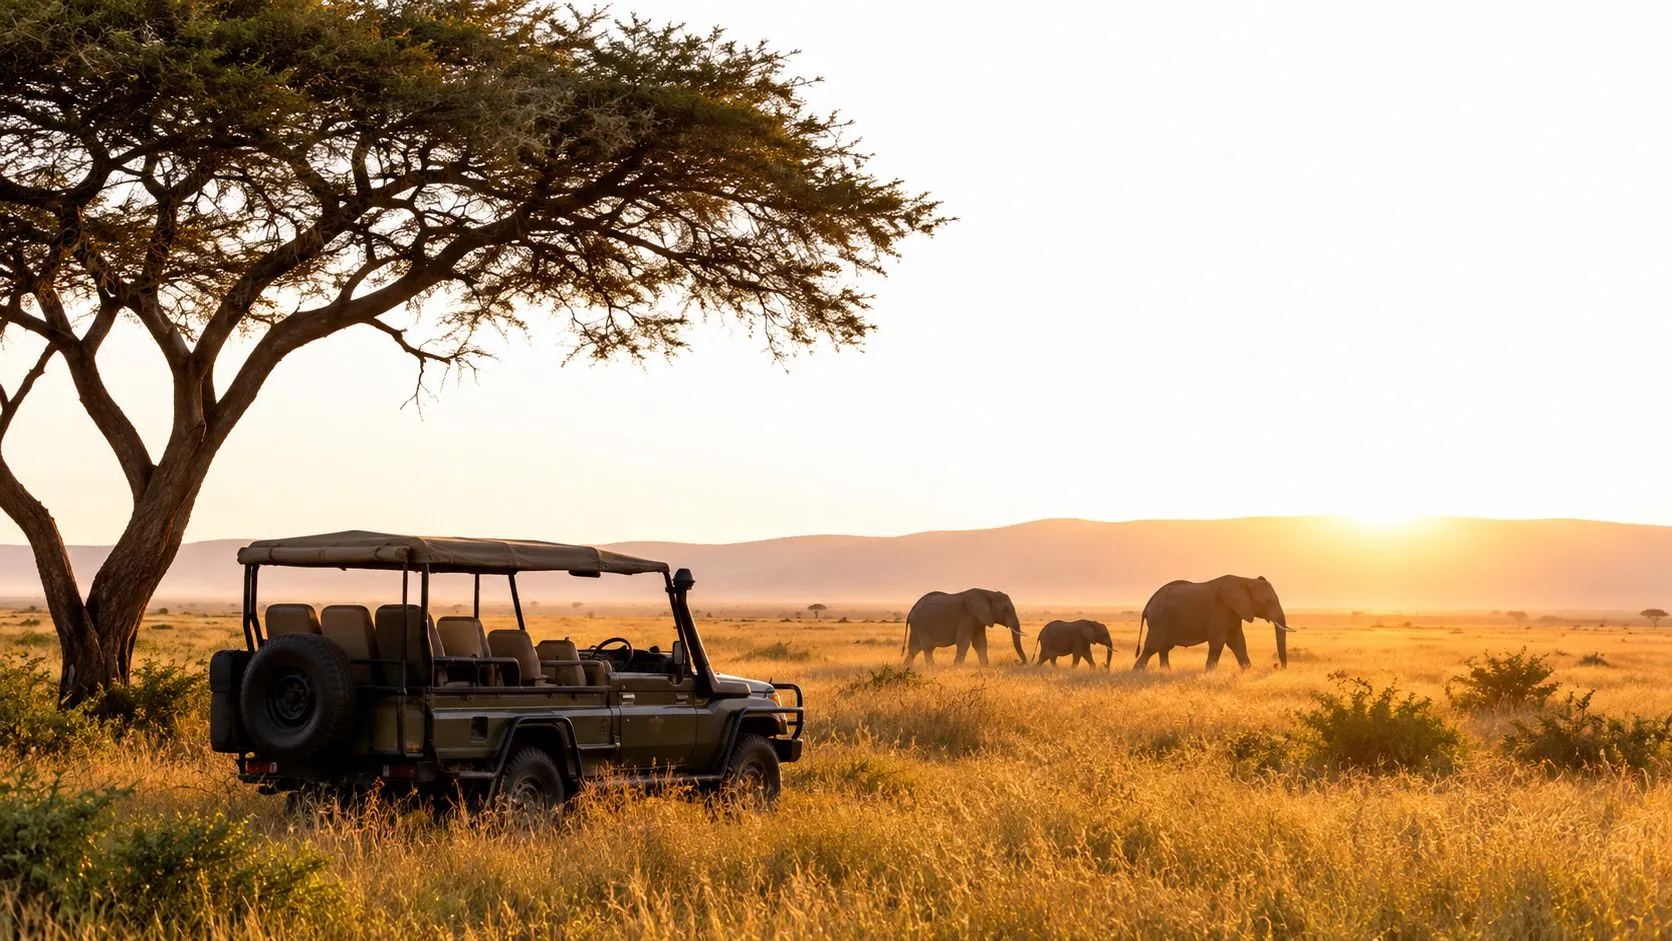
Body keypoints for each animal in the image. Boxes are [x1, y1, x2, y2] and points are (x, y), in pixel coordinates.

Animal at [1133, 575, 1294, 670]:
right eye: (1268, 601)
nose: (1277, 666)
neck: (1245, 580)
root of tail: (1148, 604)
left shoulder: (1234, 612)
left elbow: (1238, 642)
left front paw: (1247, 670)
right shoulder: (1220, 609)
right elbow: (1218, 642)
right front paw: (1208, 673)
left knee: (1163, 648)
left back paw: (1166, 672)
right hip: (1159, 620)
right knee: (1152, 647)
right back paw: (1137, 673)